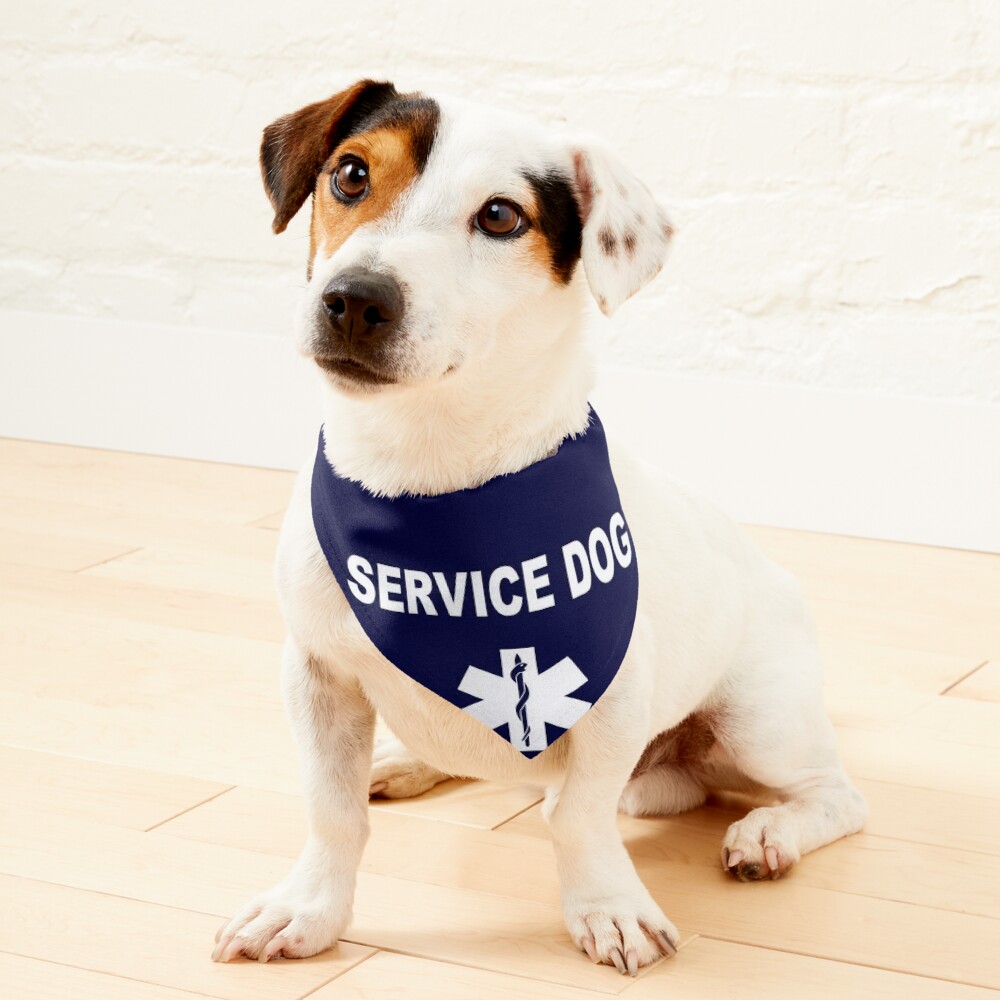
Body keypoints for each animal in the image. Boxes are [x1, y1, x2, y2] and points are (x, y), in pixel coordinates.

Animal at [213, 80, 868, 976]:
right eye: (350, 174)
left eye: (500, 216)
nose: (355, 299)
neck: (428, 476)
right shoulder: (317, 676)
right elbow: (332, 810)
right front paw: (309, 909)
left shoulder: (614, 698)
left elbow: (578, 816)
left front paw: (608, 907)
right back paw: (408, 761)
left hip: (760, 720)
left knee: (834, 796)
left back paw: (770, 833)